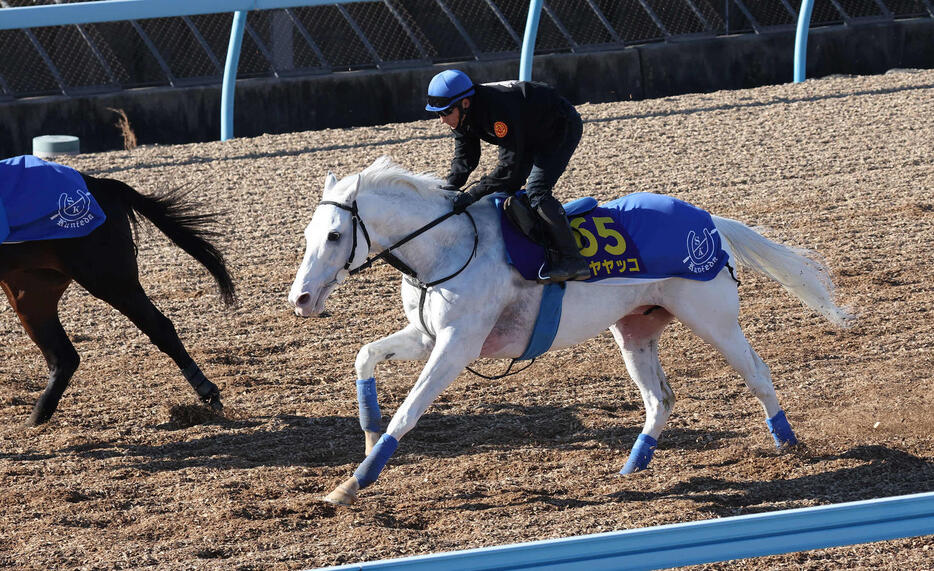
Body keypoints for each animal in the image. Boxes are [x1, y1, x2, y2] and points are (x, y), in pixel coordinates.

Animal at [0, 173, 234, 424]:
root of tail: (101, 184)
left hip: (110, 280)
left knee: (161, 328)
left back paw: (207, 391)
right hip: (31, 293)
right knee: (63, 357)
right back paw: (35, 419)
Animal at [288, 155, 852, 504]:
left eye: (335, 235)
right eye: (309, 233)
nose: (301, 299)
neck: (449, 247)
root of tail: (709, 221)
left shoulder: (457, 344)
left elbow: (409, 411)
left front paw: (354, 483)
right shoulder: (427, 335)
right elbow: (365, 354)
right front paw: (367, 433)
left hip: (713, 319)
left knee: (757, 373)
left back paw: (787, 443)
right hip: (634, 331)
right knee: (660, 399)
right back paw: (633, 467)